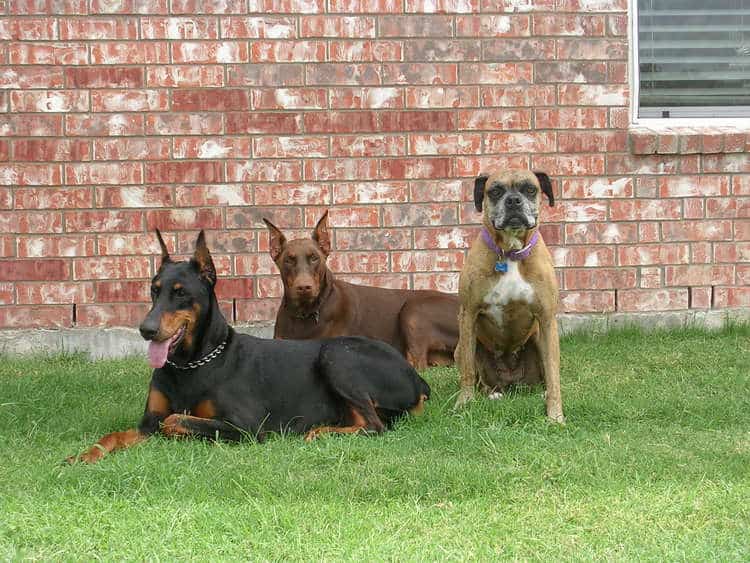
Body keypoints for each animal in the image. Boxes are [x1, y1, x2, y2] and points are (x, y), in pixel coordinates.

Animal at [452, 172, 564, 424]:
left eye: (530, 189)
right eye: (495, 191)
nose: (513, 201)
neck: (511, 253)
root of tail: (511, 382)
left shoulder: (547, 319)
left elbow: (553, 374)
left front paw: (555, 414)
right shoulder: (468, 314)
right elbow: (467, 371)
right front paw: (464, 404)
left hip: (539, 338)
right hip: (461, 346)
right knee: (479, 377)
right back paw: (491, 393)